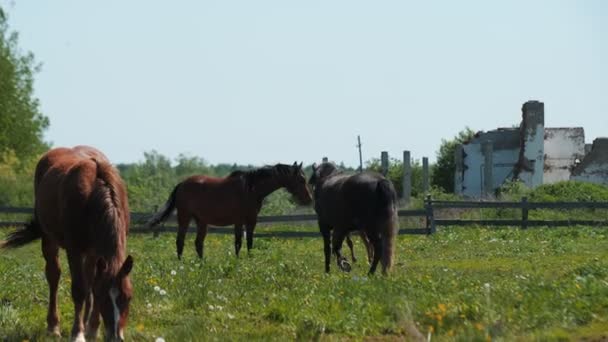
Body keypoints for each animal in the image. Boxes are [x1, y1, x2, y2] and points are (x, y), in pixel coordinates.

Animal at [0, 145, 133, 342]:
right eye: (104, 298)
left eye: (128, 297)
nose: (116, 337)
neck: (94, 193)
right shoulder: (74, 250)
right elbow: (80, 290)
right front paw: (77, 333)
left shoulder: (95, 251)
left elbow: (92, 285)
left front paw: (92, 329)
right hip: (50, 240)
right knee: (54, 276)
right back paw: (53, 326)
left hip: (91, 252)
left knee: (88, 280)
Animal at [145, 162, 312, 260]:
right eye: (301, 179)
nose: (309, 199)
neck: (250, 189)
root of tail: (181, 184)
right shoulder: (239, 221)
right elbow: (238, 242)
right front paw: (238, 262)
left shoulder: (251, 221)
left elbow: (249, 242)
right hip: (184, 218)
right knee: (180, 241)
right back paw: (181, 263)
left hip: (202, 221)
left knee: (198, 243)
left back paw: (201, 264)